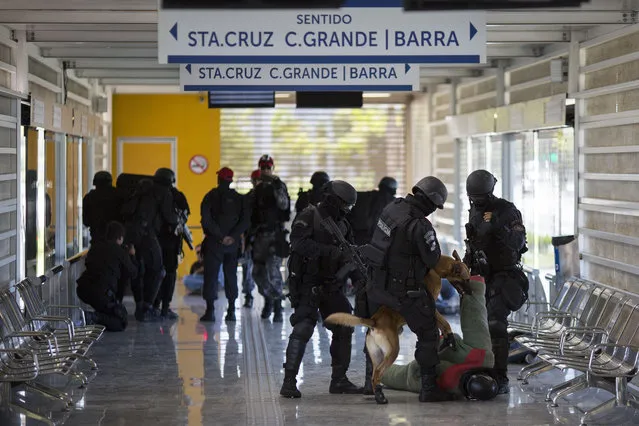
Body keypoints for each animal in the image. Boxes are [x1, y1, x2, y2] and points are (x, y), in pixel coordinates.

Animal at [324, 250, 470, 402]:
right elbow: (444, 322)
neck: (436, 268)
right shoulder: (432, 307)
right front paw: (448, 335)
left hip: (376, 355)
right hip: (392, 351)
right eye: (466, 279)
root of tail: (374, 320)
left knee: (373, 373)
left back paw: (376, 393)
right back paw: (381, 398)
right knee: (378, 373)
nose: (471, 292)